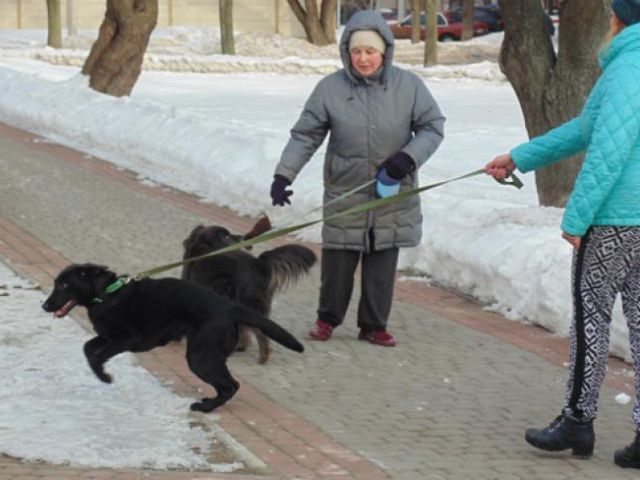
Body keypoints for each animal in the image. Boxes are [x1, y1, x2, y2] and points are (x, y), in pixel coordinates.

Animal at [42, 262, 304, 412]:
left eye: (64, 285)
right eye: (56, 283)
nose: (45, 305)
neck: (106, 294)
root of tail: (230, 308)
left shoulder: (127, 339)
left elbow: (96, 356)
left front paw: (105, 377)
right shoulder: (107, 337)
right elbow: (88, 349)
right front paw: (101, 372)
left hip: (199, 357)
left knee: (231, 385)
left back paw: (205, 407)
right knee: (227, 386)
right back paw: (208, 404)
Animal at [181, 225, 316, 364]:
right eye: (226, 237)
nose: (241, 238)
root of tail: (261, 264)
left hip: (248, 303)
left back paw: (263, 356)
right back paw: (241, 347)